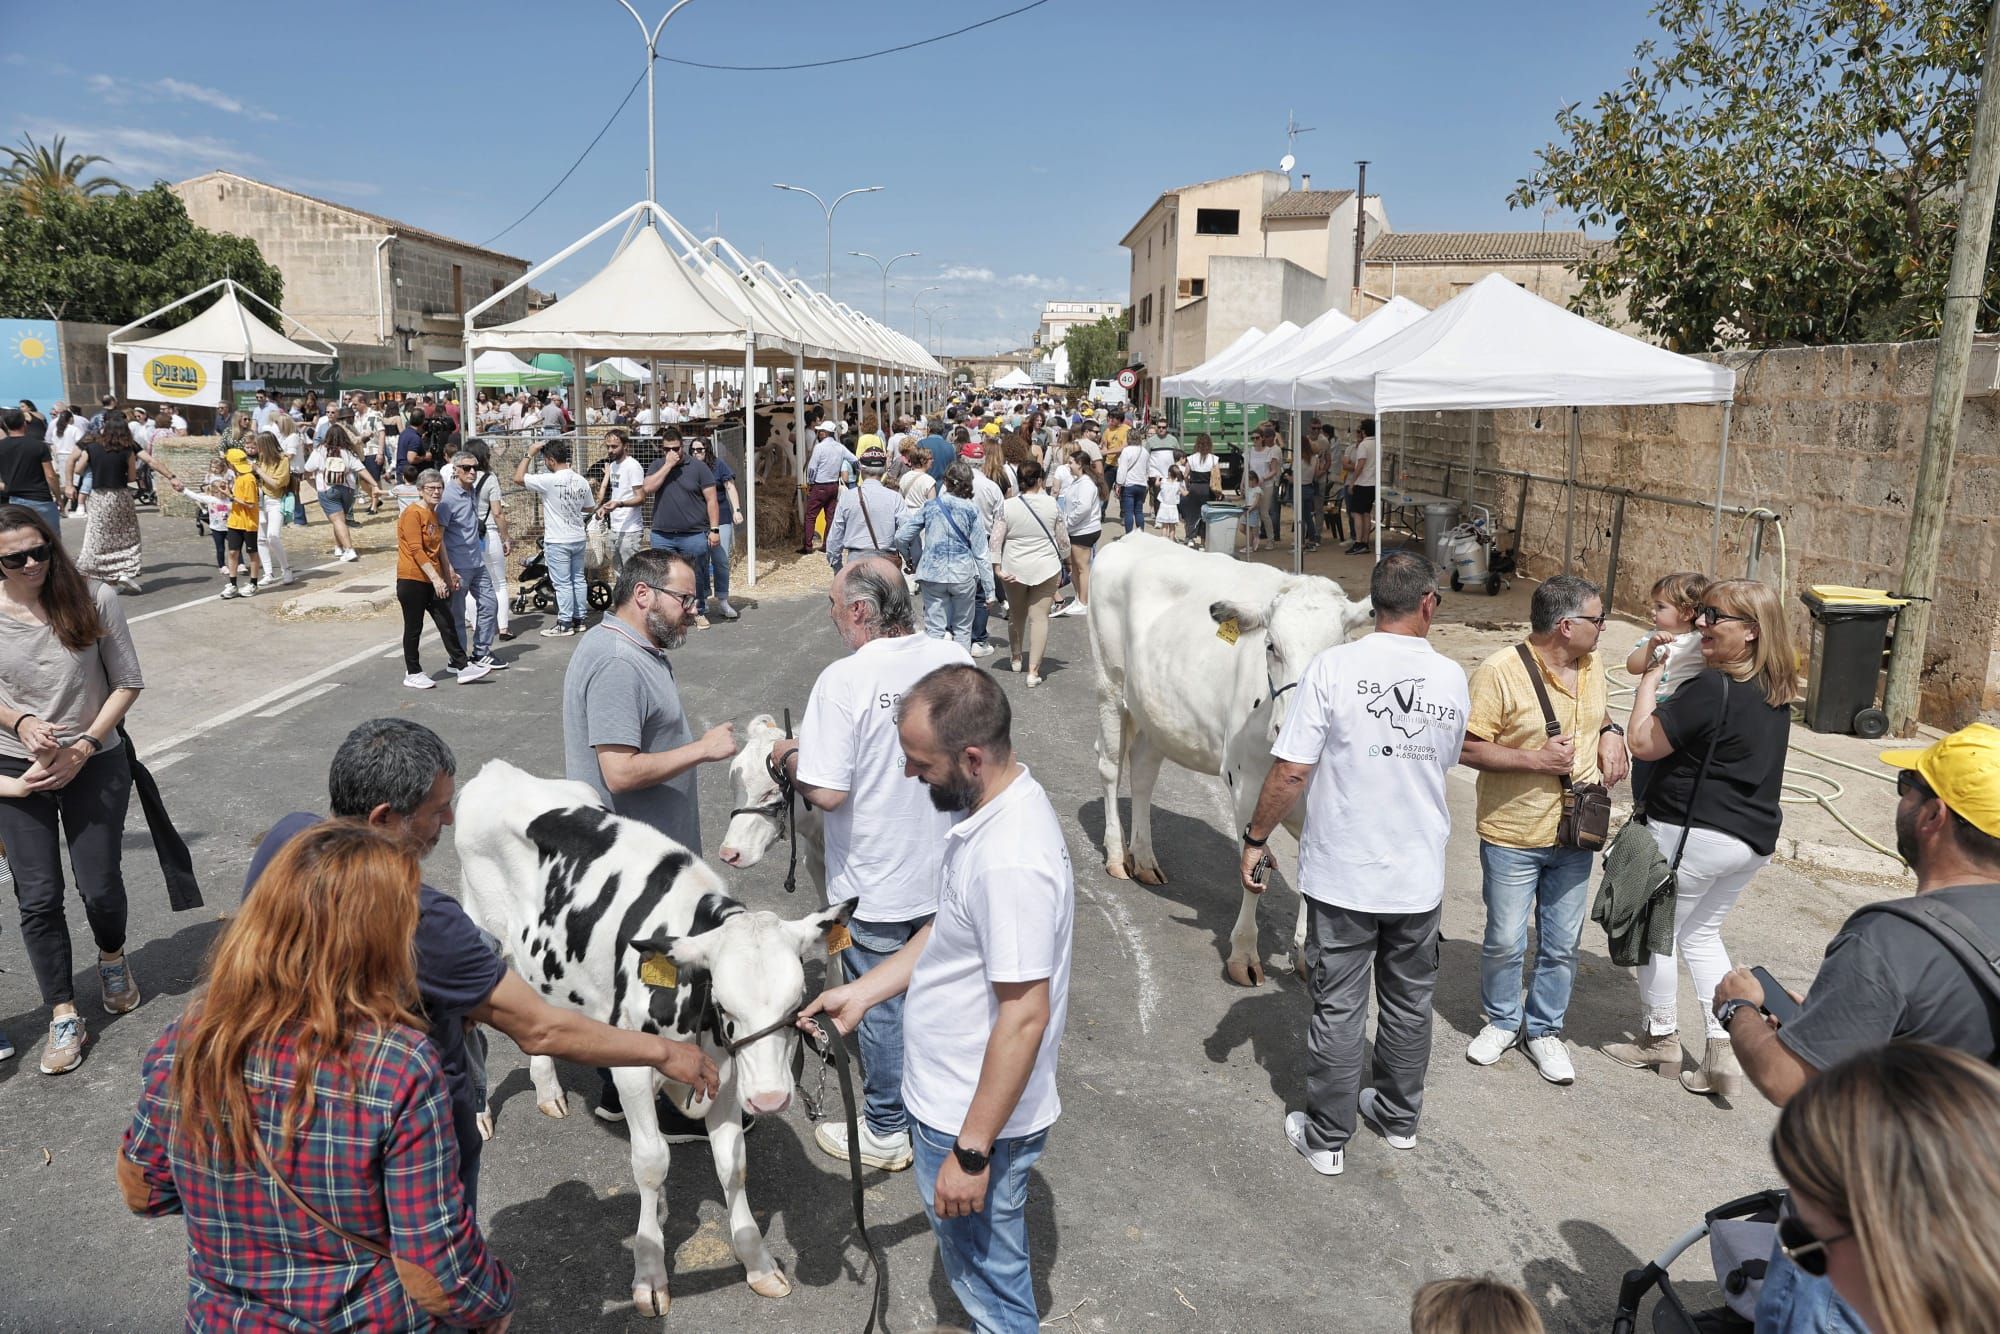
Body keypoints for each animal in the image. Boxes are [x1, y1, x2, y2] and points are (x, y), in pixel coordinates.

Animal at [458, 760, 856, 1312]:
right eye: (726, 1004)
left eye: (797, 1001)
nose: (772, 1099)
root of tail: (497, 771)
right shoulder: (632, 1067)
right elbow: (650, 1164)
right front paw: (649, 1270)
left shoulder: (729, 1073)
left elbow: (733, 1164)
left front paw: (756, 1259)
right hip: (478, 930)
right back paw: (478, 1113)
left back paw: (548, 1089)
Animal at [1096, 528, 1376, 980]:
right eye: (1271, 646)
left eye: (1337, 649)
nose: (1290, 728)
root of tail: (1134, 535)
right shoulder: (1245, 783)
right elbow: (1252, 871)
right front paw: (1244, 952)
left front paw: (1305, 951)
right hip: (1109, 682)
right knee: (1109, 769)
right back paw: (1119, 856)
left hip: (1157, 710)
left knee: (1142, 773)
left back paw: (1145, 858)